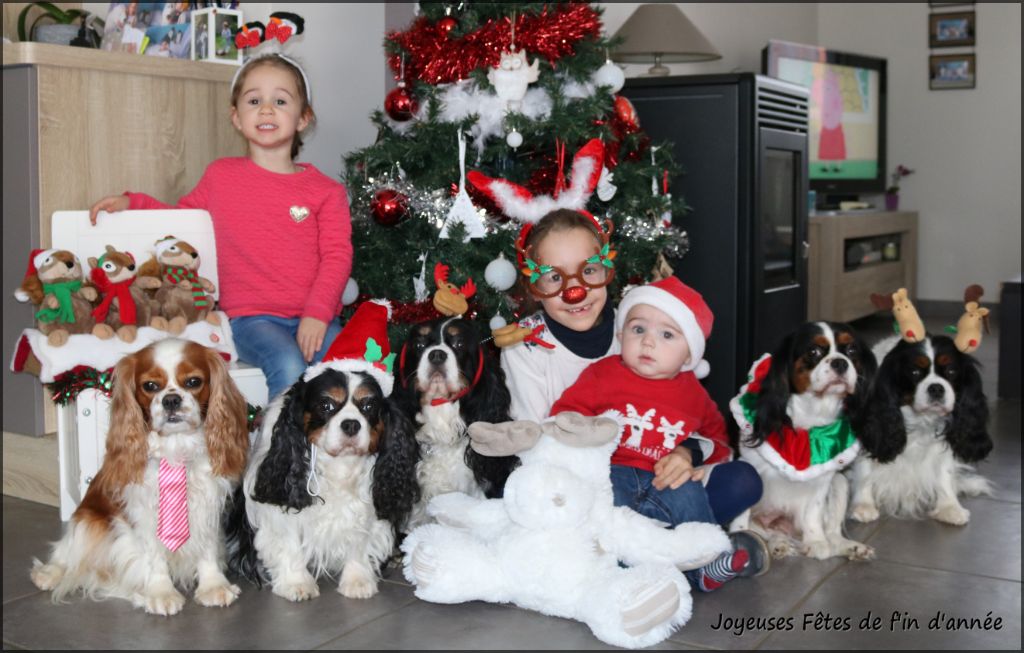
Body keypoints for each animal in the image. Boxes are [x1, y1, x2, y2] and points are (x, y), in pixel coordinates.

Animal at [29, 339, 249, 618]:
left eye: (193, 382)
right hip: (89, 522)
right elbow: (154, 554)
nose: (171, 399)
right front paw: (160, 593)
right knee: (66, 551)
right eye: (150, 386)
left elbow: (207, 546)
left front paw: (213, 585)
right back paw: (49, 574)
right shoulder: (144, 511)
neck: (175, 449)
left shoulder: (207, 504)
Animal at [847, 335, 991, 528]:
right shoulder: (870, 432)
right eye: (914, 373)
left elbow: (944, 473)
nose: (936, 388)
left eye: (951, 372)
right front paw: (863, 505)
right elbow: (864, 469)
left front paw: (949, 507)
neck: (919, 419)